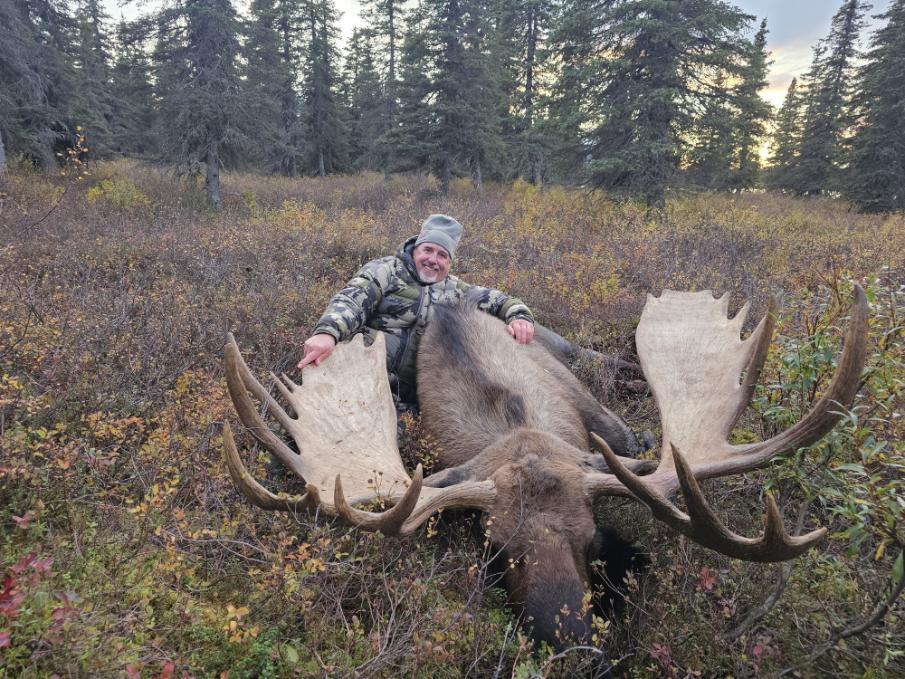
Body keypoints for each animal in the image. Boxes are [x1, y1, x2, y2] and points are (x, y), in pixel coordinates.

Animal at [221, 286, 868, 650]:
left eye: (591, 539)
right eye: (496, 549)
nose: (572, 645)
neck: (520, 429)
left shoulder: (604, 423)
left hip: (565, 348)